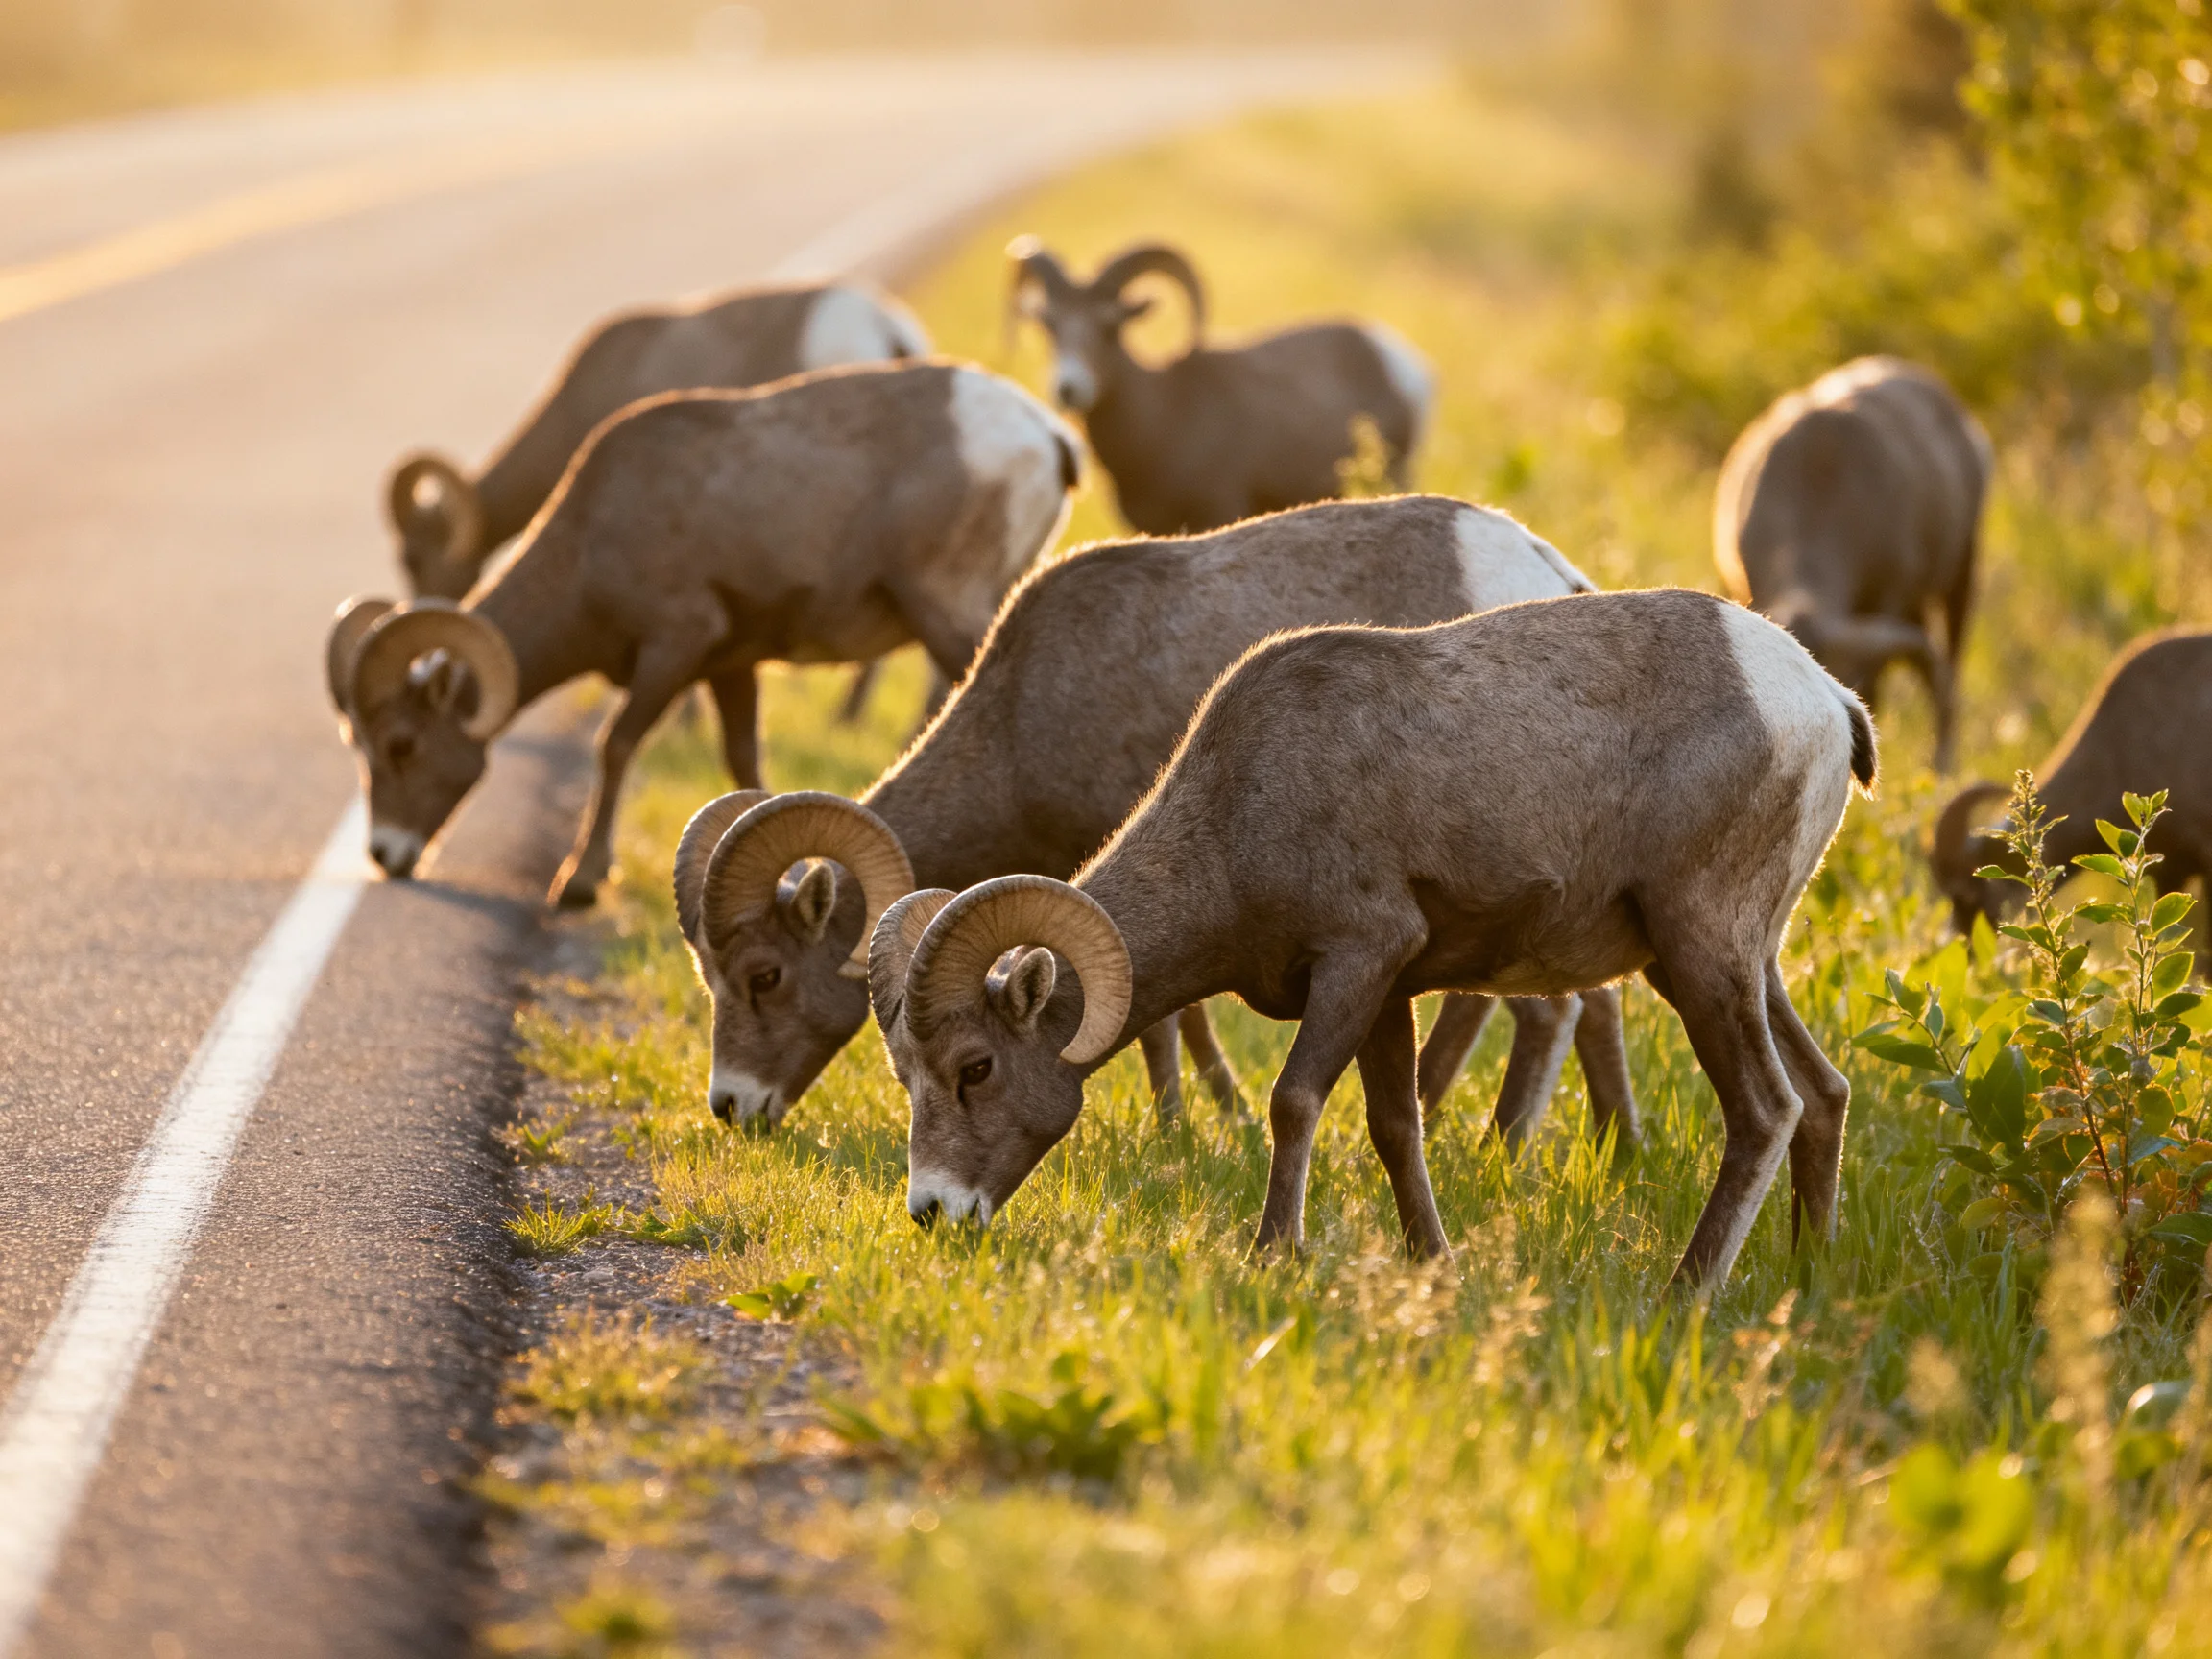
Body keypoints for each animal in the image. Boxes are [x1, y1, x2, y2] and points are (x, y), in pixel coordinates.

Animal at [326, 361, 1079, 910]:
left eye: (401, 744)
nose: (386, 856)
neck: (589, 541)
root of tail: (1045, 437)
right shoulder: (730, 667)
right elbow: (744, 763)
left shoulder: (675, 645)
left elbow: (615, 745)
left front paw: (578, 883)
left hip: (950, 611)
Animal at [674, 495, 1640, 1144]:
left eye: (762, 975)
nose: (733, 1106)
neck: (1022, 714)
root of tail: (1541, 569)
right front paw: (1219, 1110)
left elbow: (1165, 1019)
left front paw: (1183, 1122)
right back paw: (1608, 1146)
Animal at [870, 589, 1876, 1288]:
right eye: (908, 1076)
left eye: (976, 1068)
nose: (933, 1212)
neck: (1234, 814)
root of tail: (1823, 701)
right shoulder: (1391, 990)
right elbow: (1397, 1127)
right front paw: (1434, 1265)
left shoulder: (1357, 959)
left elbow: (1294, 1102)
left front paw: (1272, 1256)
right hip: (1733, 964)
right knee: (1824, 1094)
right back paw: (1810, 1276)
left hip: (1703, 953)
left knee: (1767, 1110)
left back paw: (1686, 1295)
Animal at [1006, 239, 1433, 535]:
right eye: (1050, 324)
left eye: (1111, 325)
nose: (1069, 388)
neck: (1163, 420)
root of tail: (1402, 362)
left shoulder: (1221, 509)